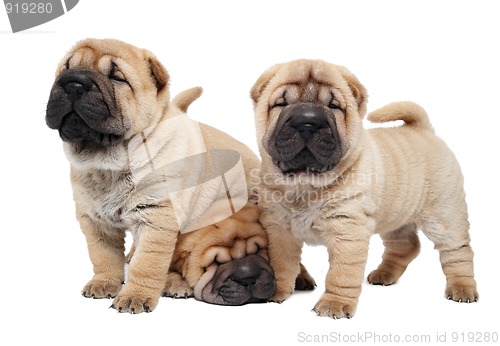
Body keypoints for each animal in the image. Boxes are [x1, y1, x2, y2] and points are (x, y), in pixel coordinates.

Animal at [47, 39, 312, 312]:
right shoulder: (95, 220)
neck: (109, 165)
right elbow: (104, 256)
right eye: (66, 69)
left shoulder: (156, 216)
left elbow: (147, 264)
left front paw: (135, 296)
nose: (73, 83)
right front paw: (104, 283)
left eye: (116, 77)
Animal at [252, 58, 478, 318]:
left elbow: (342, 273)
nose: (307, 122)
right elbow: (281, 264)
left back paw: (462, 288)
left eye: (334, 106)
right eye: (281, 103)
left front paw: (335, 304)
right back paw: (384, 274)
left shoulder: (347, 230)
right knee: (407, 246)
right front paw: (276, 291)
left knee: (457, 252)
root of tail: (424, 130)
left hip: (444, 216)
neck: (305, 184)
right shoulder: (278, 228)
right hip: (396, 217)